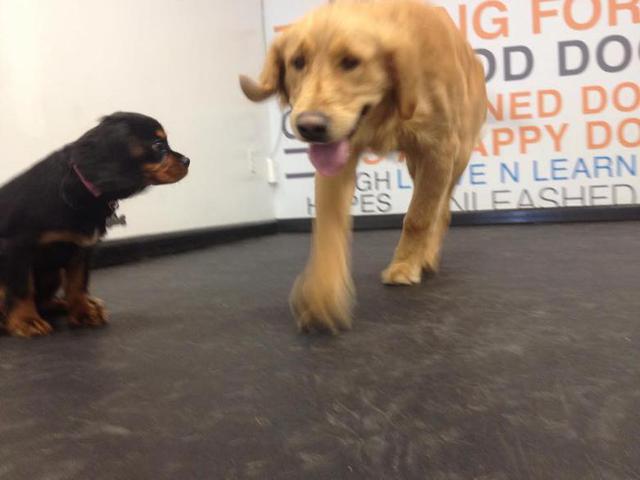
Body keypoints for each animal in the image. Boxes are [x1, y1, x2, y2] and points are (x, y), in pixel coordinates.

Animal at [0, 112, 190, 337]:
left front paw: (84, 313)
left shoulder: (82, 248)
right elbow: (22, 287)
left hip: (53, 273)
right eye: (158, 145)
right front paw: (26, 321)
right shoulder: (17, 247)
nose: (187, 161)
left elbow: (78, 284)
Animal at [240, 0, 487, 333]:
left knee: (441, 208)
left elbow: (419, 217)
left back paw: (427, 255)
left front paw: (404, 265)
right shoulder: (339, 156)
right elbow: (329, 226)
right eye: (298, 62)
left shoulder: (439, 148)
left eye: (351, 62)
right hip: (417, 163)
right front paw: (322, 294)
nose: (310, 127)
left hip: (455, 154)